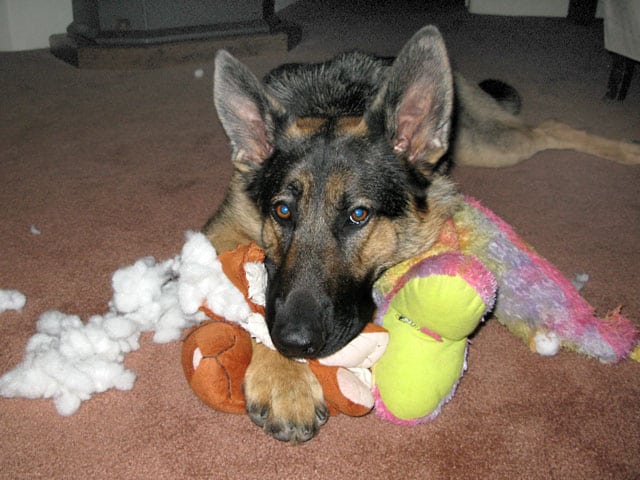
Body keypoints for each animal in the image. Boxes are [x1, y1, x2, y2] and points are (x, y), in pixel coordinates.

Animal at [204, 24, 640, 440]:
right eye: (282, 211)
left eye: (358, 215)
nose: (294, 344)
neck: (334, 106)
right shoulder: (222, 232)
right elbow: (249, 297)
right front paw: (285, 379)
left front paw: (286, 377)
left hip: (488, 146)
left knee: (550, 127)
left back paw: (628, 151)